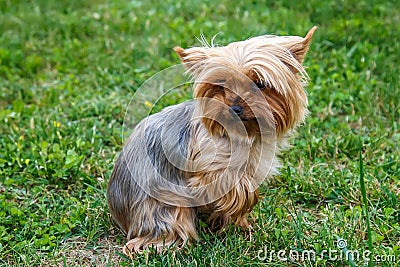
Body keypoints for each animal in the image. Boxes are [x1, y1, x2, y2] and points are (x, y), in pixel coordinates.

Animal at [106, 27, 316, 255]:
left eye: (260, 84)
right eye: (222, 85)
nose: (235, 109)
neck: (243, 134)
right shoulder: (208, 168)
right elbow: (239, 189)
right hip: (166, 205)